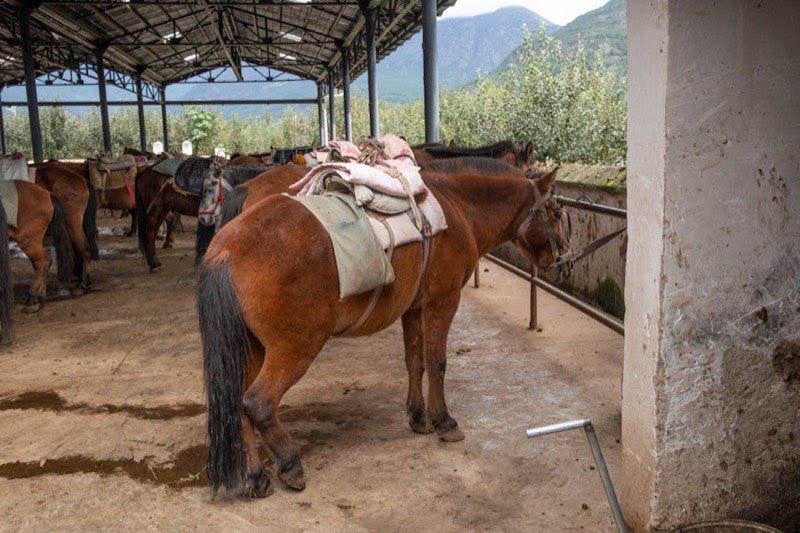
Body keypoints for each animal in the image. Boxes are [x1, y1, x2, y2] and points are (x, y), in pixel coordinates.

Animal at [1, 180, 75, 321]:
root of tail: (47, 194)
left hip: (29, 240)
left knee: (43, 262)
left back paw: (33, 297)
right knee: (42, 263)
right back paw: (40, 296)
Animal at [197, 157, 568, 498]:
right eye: (555, 211)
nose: (563, 260)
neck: (457, 206)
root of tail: (227, 249)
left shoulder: (414, 309)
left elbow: (415, 362)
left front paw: (418, 417)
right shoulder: (442, 303)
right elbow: (437, 362)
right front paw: (444, 421)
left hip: (252, 346)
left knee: (237, 401)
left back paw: (256, 477)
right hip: (296, 348)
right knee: (258, 402)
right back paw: (290, 465)